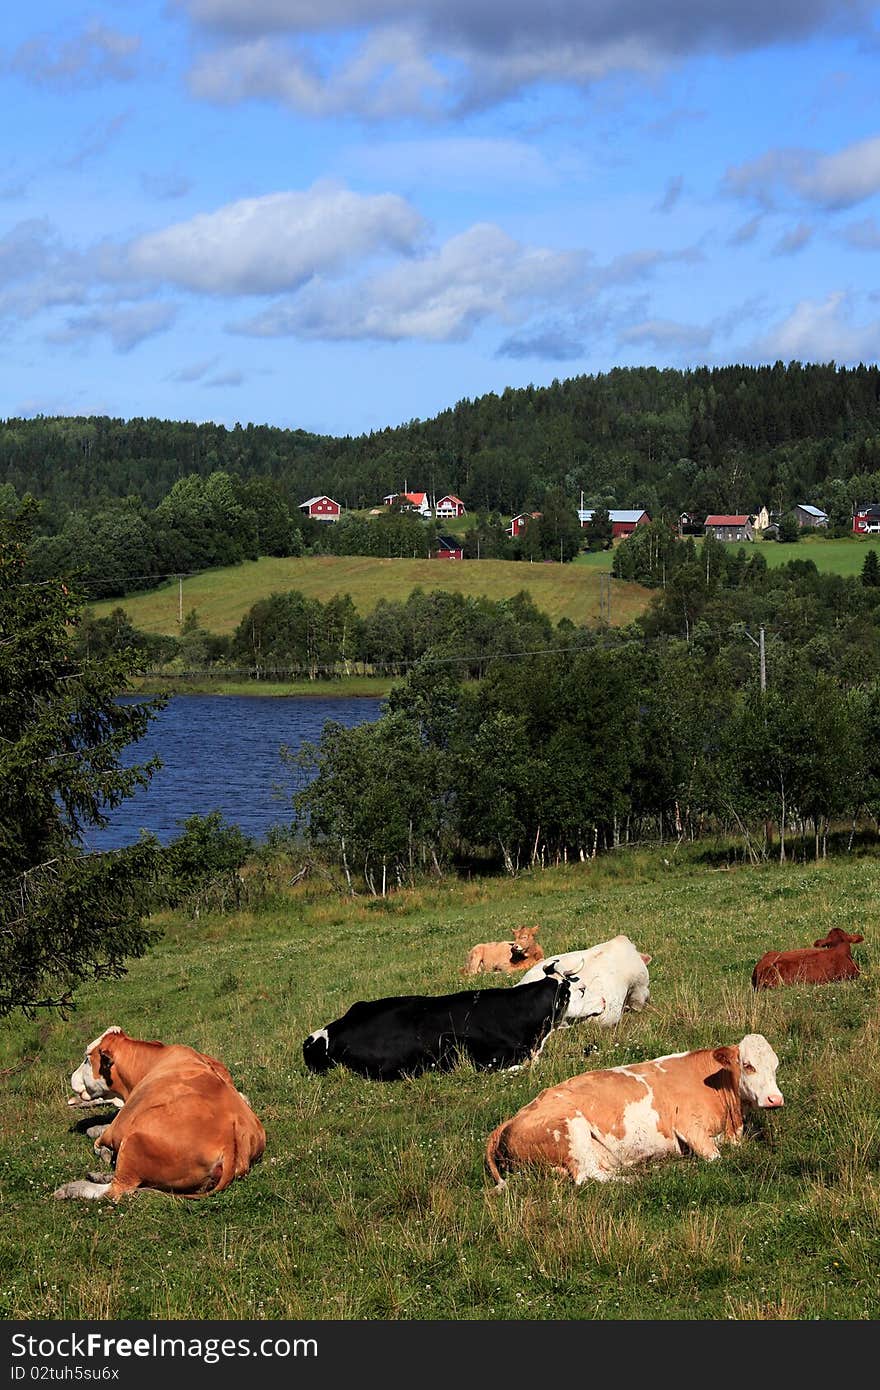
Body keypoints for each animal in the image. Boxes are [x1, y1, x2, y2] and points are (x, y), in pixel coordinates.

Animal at [53, 1028, 265, 1200]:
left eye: (87, 1058)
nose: (71, 1077)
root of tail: (230, 1142)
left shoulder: (119, 1125)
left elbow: (98, 1140)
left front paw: (100, 1145)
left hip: (133, 1143)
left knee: (117, 1189)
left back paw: (72, 1188)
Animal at [483, 1028, 778, 1189]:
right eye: (748, 1065)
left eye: (775, 1066)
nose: (775, 1099)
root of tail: (509, 1120)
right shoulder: (689, 1127)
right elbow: (717, 1158)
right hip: (571, 1131)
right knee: (588, 1177)